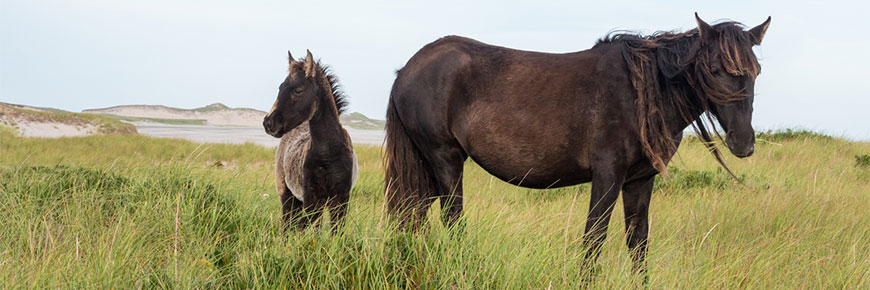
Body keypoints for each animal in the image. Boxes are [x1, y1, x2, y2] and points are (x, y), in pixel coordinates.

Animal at [262, 49, 358, 231]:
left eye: (298, 90)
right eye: (280, 87)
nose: (268, 123)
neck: (329, 152)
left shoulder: (341, 199)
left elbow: (336, 231)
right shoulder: (312, 199)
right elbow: (311, 231)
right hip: (287, 196)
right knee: (288, 226)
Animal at [384, 13, 772, 276]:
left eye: (755, 71)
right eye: (714, 69)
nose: (743, 143)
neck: (643, 93)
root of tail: (408, 68)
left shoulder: (639, 181)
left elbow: (638, 243)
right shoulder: (608, 176)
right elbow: (594, 239)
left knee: (416, 217)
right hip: (444, 158)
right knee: (452, 221)